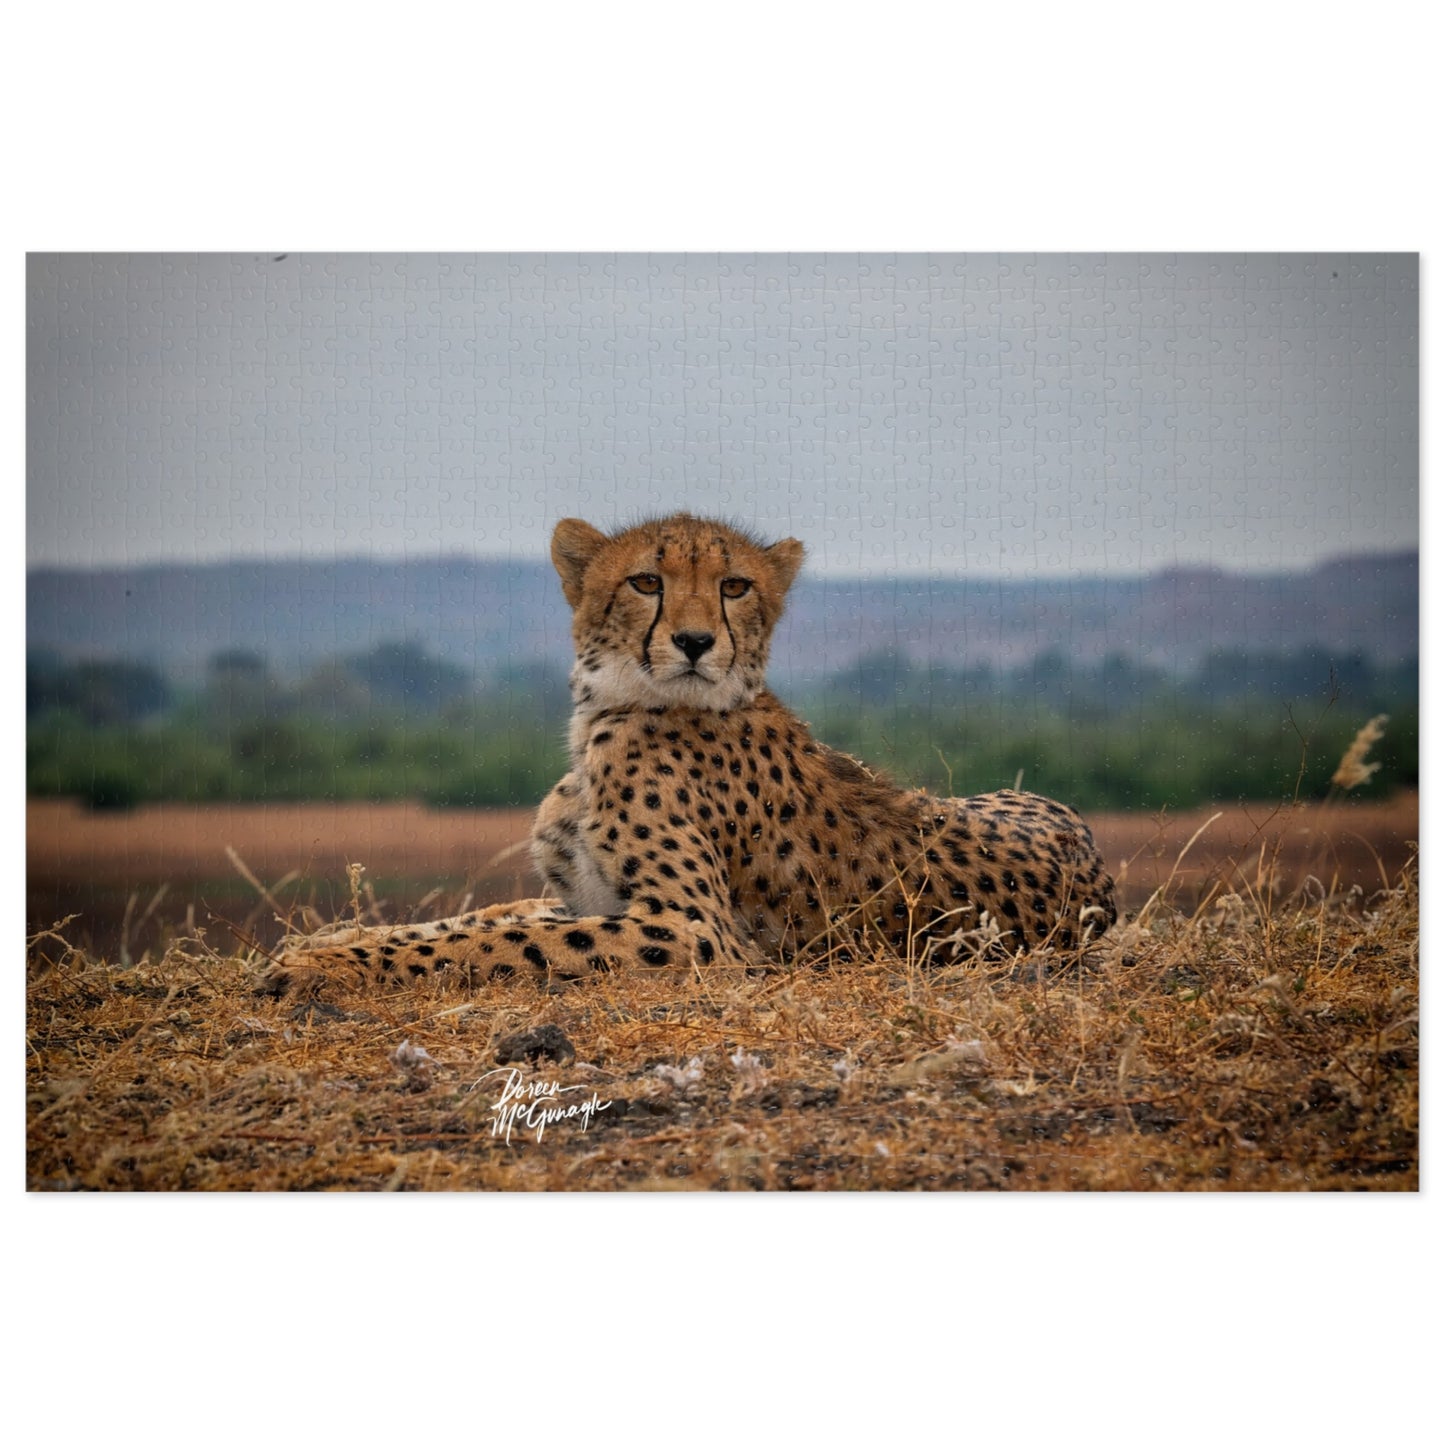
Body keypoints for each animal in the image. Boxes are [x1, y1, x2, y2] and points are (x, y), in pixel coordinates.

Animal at [260, 512, 1116, 995]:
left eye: (735, 586)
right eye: (646, 581)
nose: (696, 640)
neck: (608, 712)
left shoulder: (695, 930)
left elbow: (497, 940)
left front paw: (322, 967)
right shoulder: (586, 896)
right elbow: (473, 920)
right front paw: (323, 944)